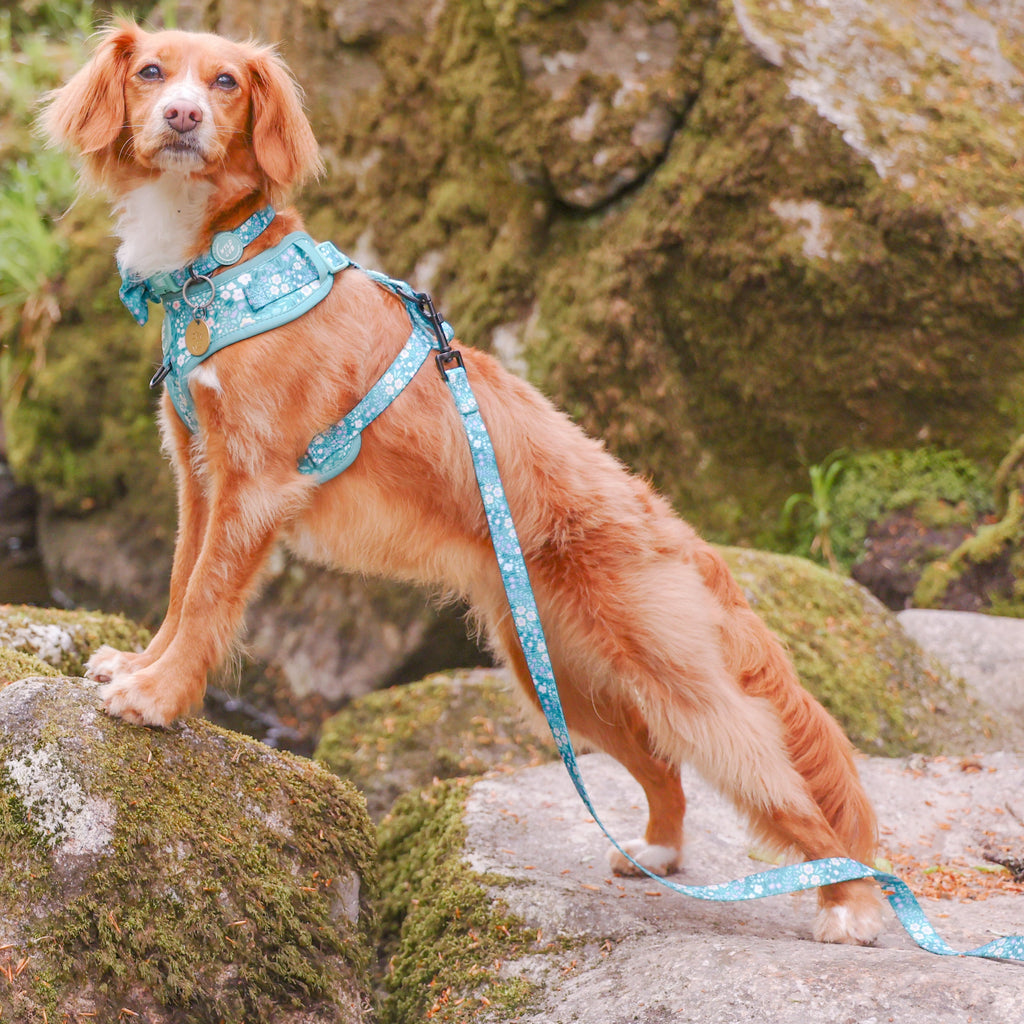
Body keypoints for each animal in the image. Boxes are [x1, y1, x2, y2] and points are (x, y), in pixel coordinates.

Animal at [44, 19, 884, 942]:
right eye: (152, 72)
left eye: (225, 83)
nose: (183, 116)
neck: (221, 269)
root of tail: (675, 529)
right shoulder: (199, 479)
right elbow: (177, 585)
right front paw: (138, 667)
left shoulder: (254, 487)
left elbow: (204, 601)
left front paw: (160, 699)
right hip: (561, 680)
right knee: (663, 768)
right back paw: (658, 853)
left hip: (678, 685)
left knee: (785, 789)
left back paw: (851, 907)